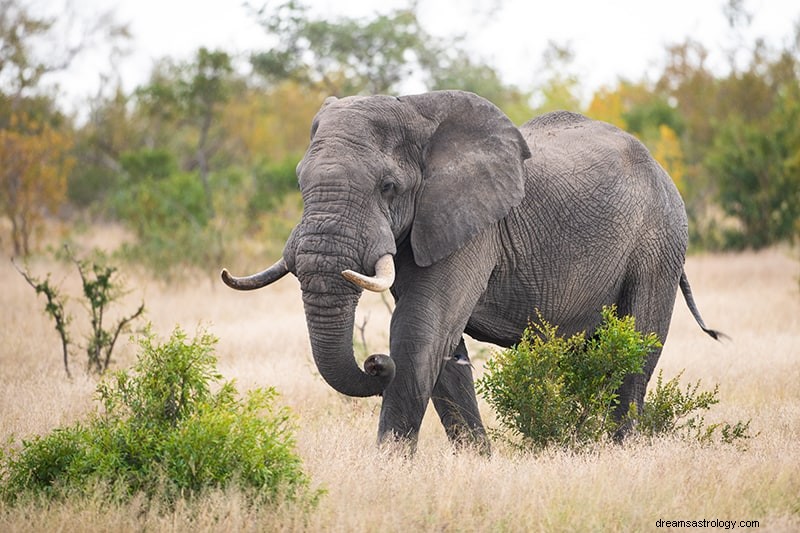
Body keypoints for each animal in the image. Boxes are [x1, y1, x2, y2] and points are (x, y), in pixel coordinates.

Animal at [222, 89, 720, 450]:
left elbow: (420, 330)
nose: (374, 361)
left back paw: (617, 451)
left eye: (388, 187)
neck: (415, 111)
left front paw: (388, 467)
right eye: (300, 182)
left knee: (638, 345)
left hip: (660, 240)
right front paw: (477, 460)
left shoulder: (474, 226)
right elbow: (442, 347)